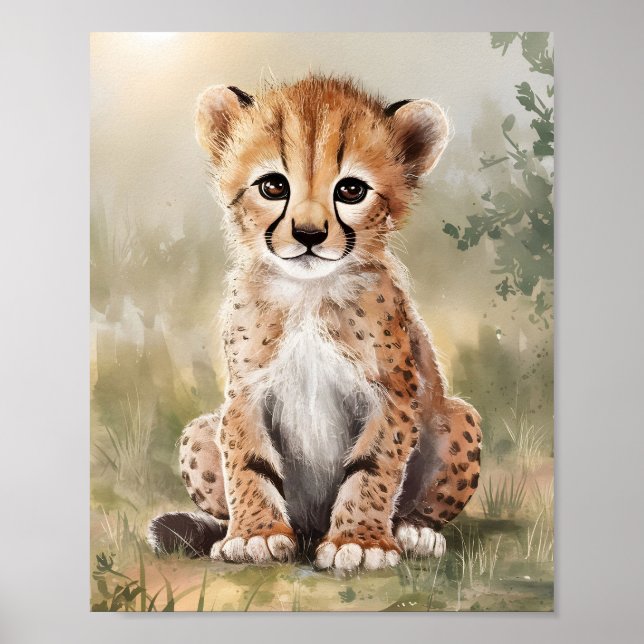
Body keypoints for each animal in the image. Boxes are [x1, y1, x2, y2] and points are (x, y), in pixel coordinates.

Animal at [148, 75, 482, 572]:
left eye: (351, 191)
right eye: (273, 186)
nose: (309, 235)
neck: (308, 293)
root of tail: (311, 527)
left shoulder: (391, 394)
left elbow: (374, 467)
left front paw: (360, 542)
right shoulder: (245, 393)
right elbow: (247, 463)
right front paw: (255, 535)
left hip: (459, 418)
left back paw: (415, 533)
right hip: (200, 430)